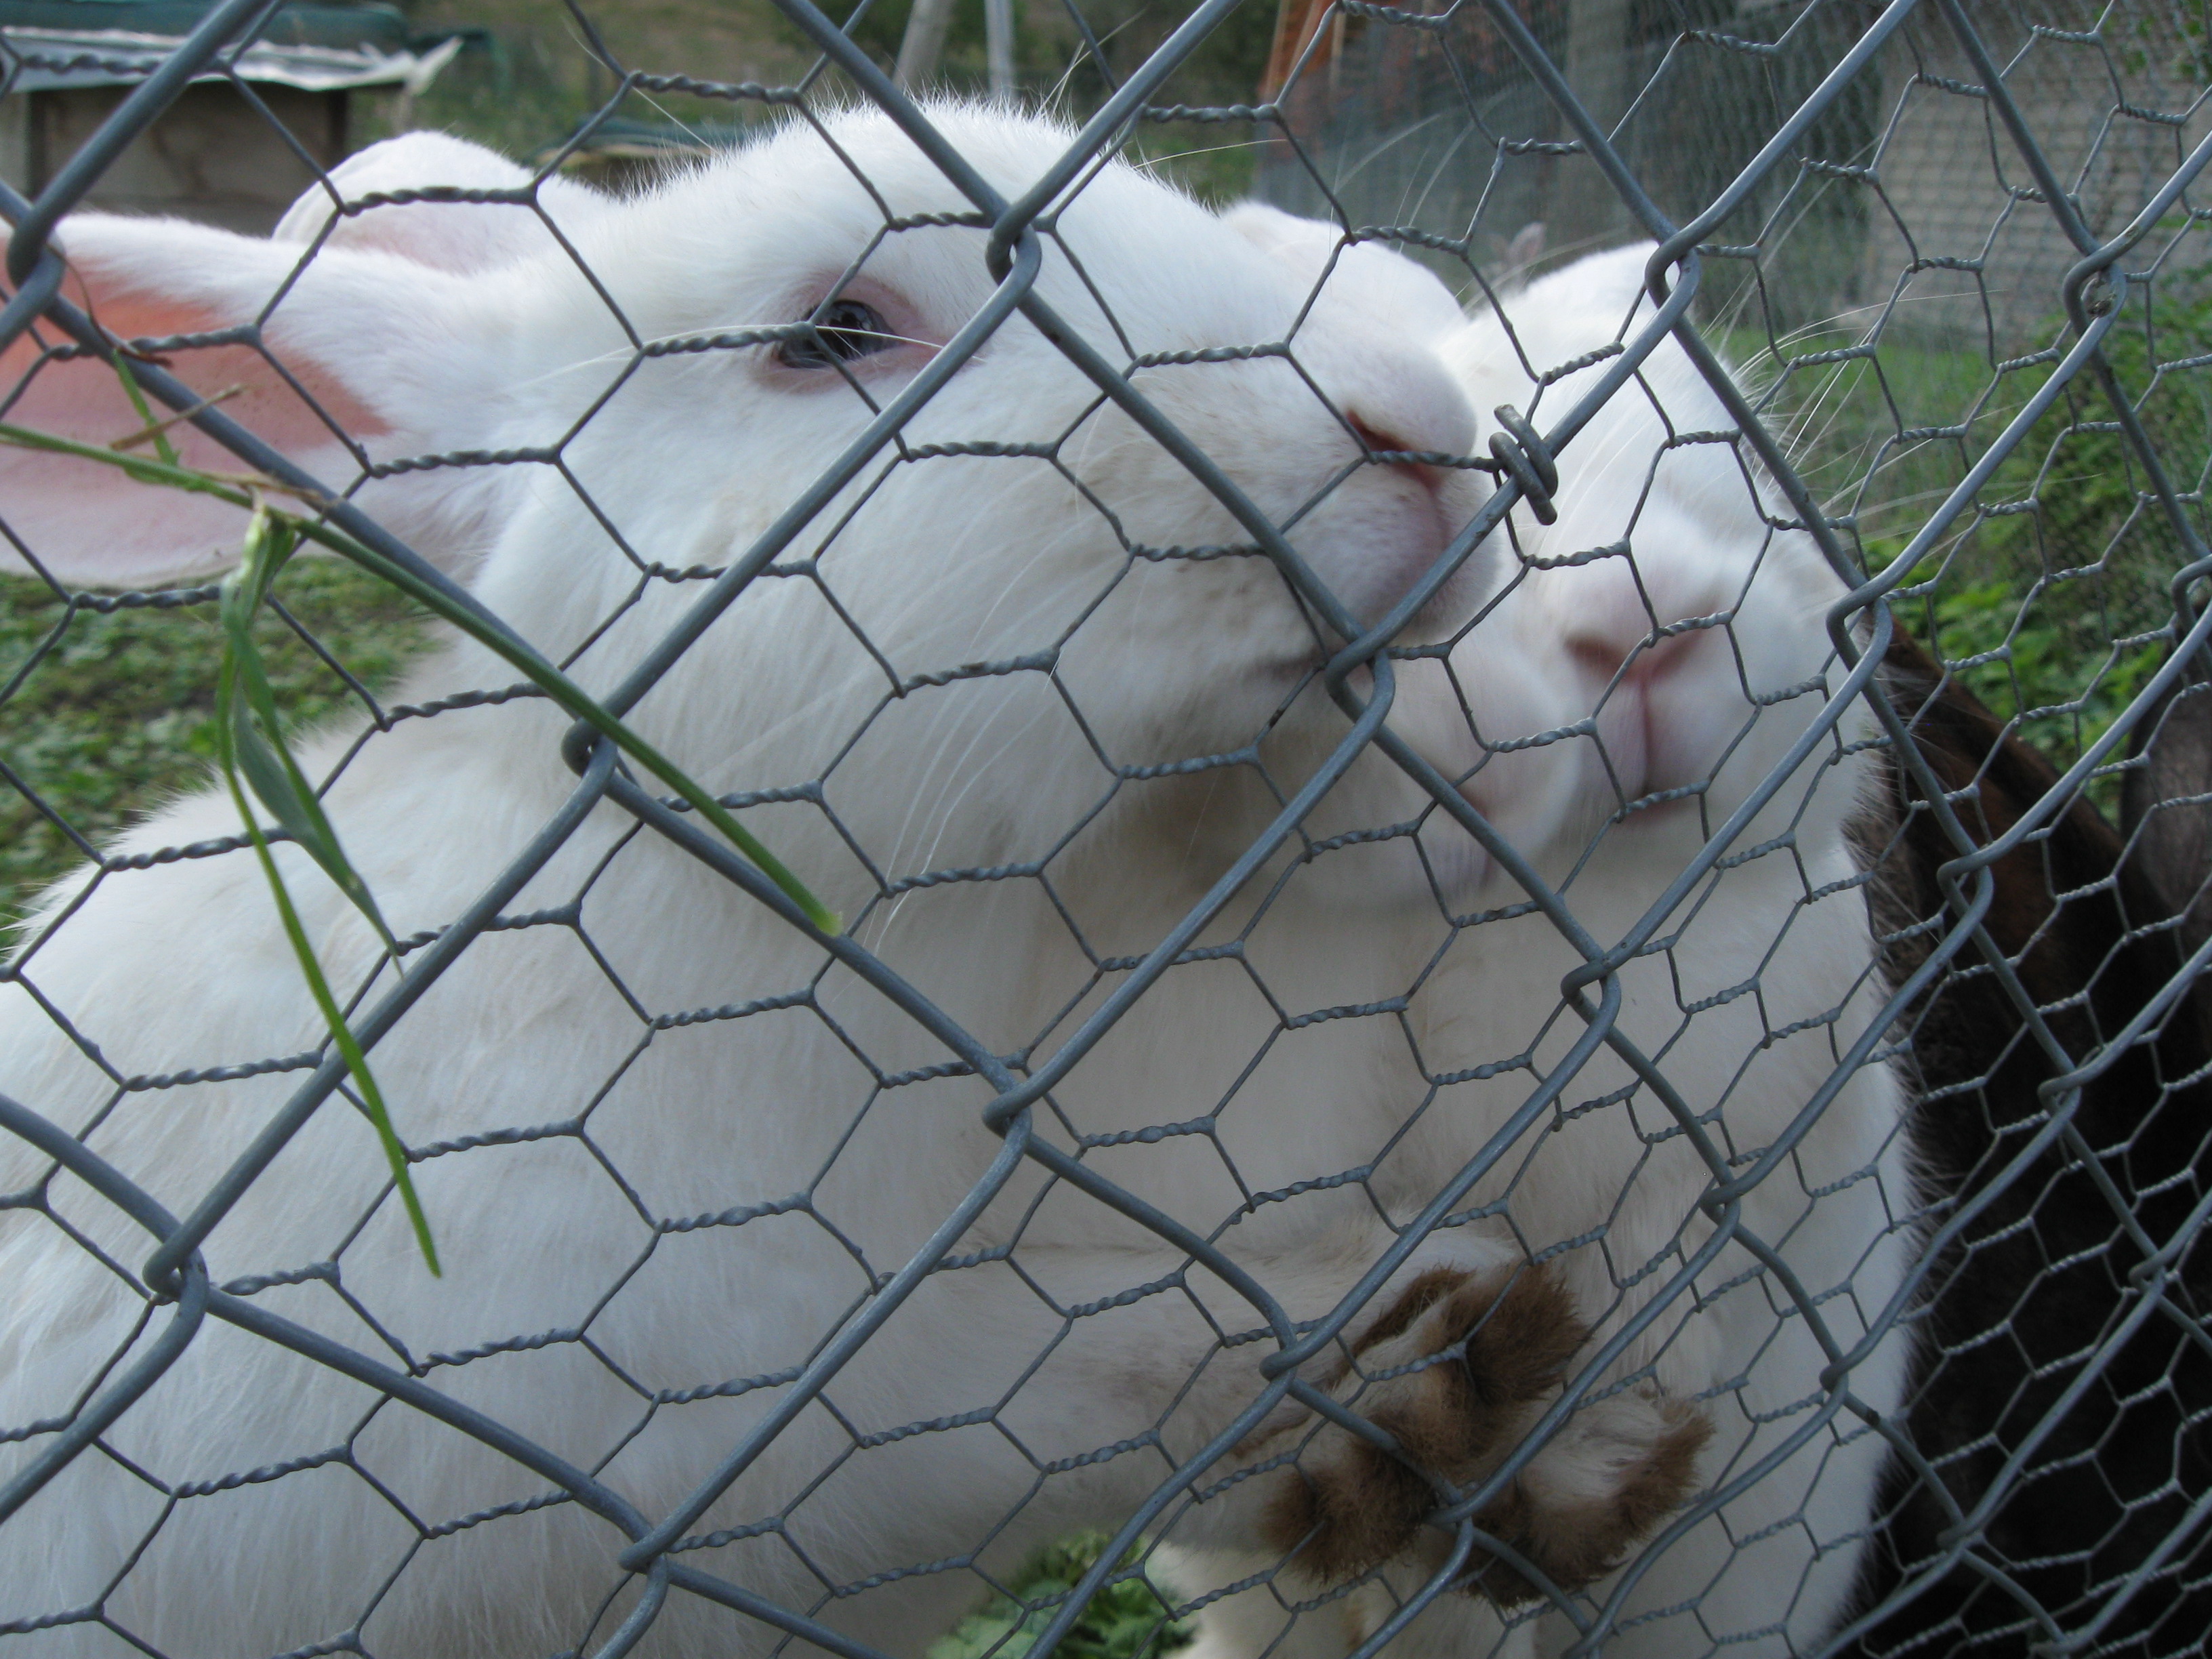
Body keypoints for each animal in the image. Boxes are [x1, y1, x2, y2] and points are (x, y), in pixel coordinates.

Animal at [0, 105, 1713, 1659]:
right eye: (830, 333)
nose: (1418, 426)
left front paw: (1561, 1436)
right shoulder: (732, 1418)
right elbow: (1095, 1370)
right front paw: (1459, 1346)